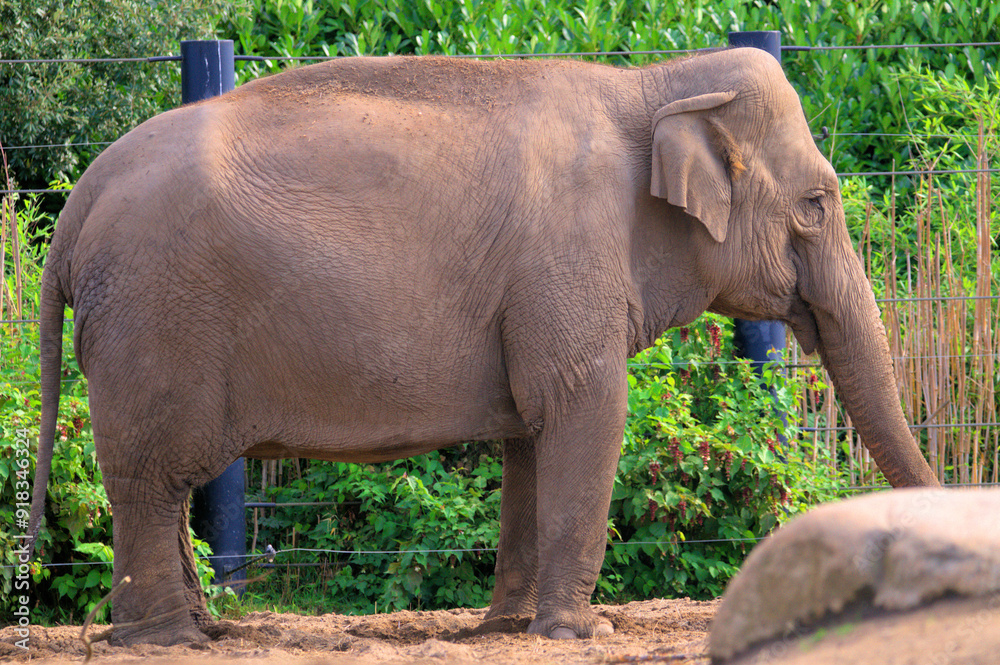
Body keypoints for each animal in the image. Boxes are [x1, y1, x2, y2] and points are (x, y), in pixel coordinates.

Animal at [28, 48, 939, 646]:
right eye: (817, 203)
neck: (654, 80)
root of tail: (75, 209)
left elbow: (532, 434)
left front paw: (506, 625)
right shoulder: (568, 258)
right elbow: (585, 408)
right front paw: (578, 630)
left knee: (156, 485)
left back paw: (197, 631)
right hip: (154, 320)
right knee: (151, 478)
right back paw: (169, 639)